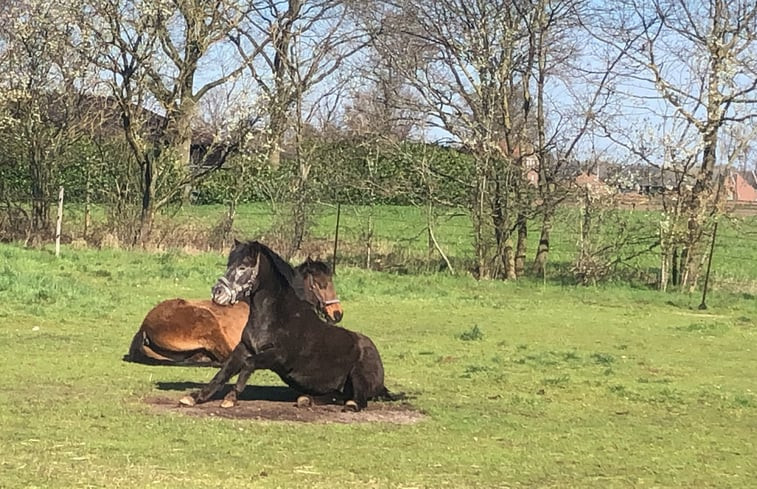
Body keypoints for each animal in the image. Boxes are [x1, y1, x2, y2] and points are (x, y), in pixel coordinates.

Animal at [176, 238, 390, 410]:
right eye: (229, 264)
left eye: (243, 267)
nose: (217, 292)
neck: (277, 316)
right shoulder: (244, 348)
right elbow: (224, 372)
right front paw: (195, 397)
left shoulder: (278, 356)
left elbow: (248, 364)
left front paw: (231, 397)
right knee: (336, 395)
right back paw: (306, 400)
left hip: (358, 375)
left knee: (358, 399)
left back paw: (350, 405)